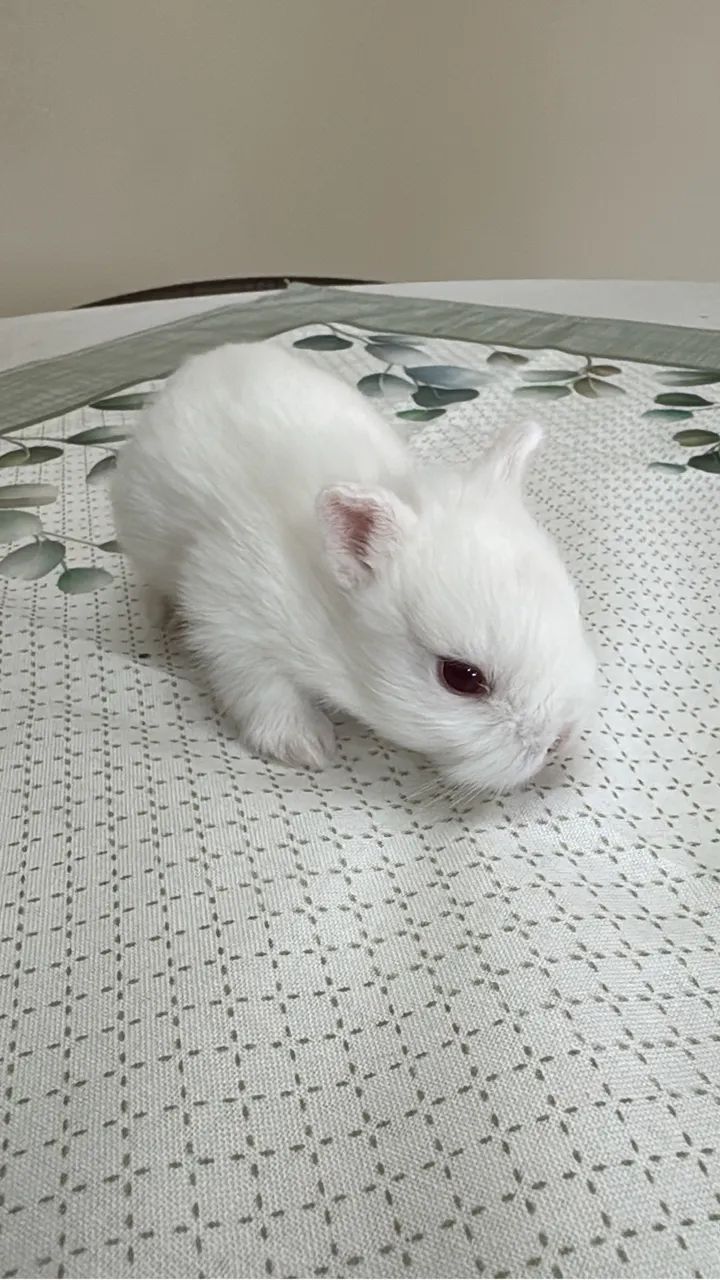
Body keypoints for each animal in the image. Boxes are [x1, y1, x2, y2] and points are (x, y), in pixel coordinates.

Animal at [112, 340, 597, 795]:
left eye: (574, 618)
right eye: (461, 677)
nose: (558, 740)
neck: (331, 613)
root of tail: (199, 364)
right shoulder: (229, 615)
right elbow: (262, 687)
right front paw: (305, 746)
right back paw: (156, 617)